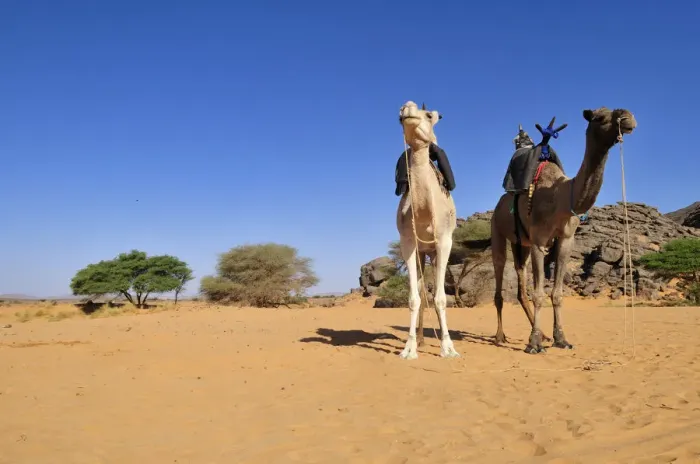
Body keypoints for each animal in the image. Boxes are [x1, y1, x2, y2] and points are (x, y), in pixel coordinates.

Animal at [491, 107, 637, 354]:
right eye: (599, 117)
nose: (628, 119)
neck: (560, 195)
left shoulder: (566, 239)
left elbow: (557, 293)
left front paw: (560, 338)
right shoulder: (539, 240)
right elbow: (539, 293)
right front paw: (534, 344)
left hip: (521, 243)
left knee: (520, 284)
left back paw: (540, 333)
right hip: (498, 232)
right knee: (500, 283)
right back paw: (500, 336)